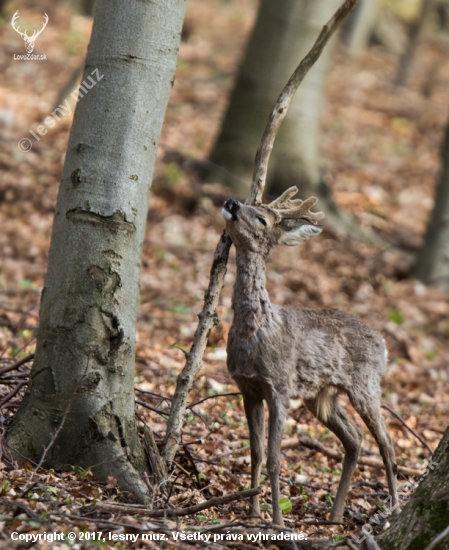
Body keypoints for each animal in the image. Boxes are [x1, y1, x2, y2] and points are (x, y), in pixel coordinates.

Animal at [222, 189, 398, 528]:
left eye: (261, 218)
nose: (232, 203)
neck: (254, 330)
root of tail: (383, 344)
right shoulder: (248, 389)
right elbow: (256, 453)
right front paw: (253, 513)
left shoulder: (279, 387)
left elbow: (275, 459)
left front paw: (277, 521)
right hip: (321, 396)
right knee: (354, 438)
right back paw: (334, 516)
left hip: (365, 386)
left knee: (385, 443)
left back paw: (394, 510)